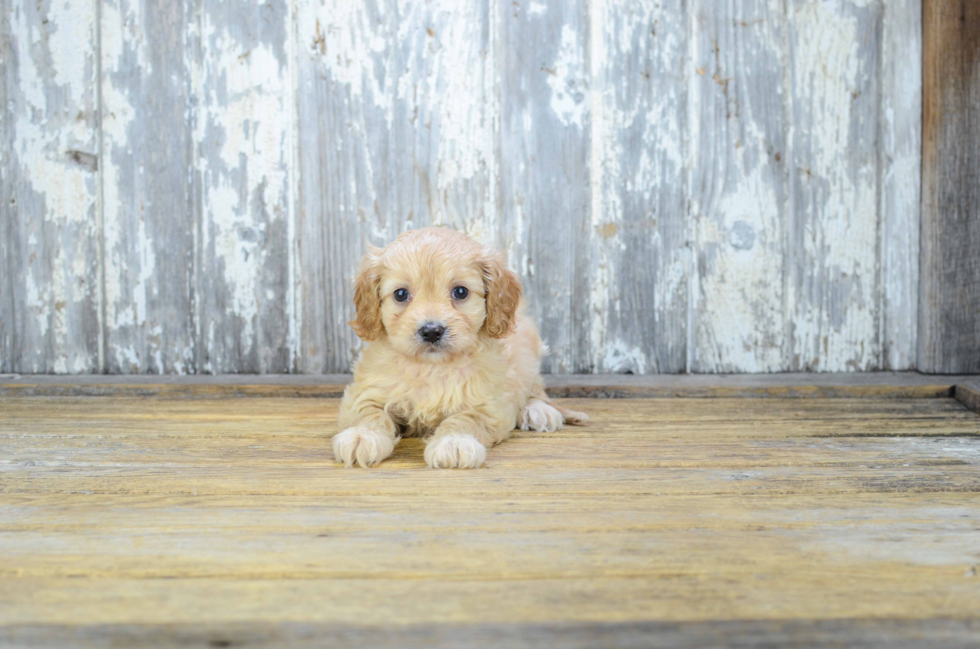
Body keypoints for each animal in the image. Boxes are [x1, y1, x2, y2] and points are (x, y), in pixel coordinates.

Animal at [334, 225, 584, 468]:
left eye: (460, 292)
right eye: (401, 294)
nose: (431, 331)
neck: (431, 366)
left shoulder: (489, 404)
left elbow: (465, 419)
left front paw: (453, 442)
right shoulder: (366, 391)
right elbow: (368, 412)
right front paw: (361, 436)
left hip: (527, 349)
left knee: (535, 388)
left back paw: (539, 410)